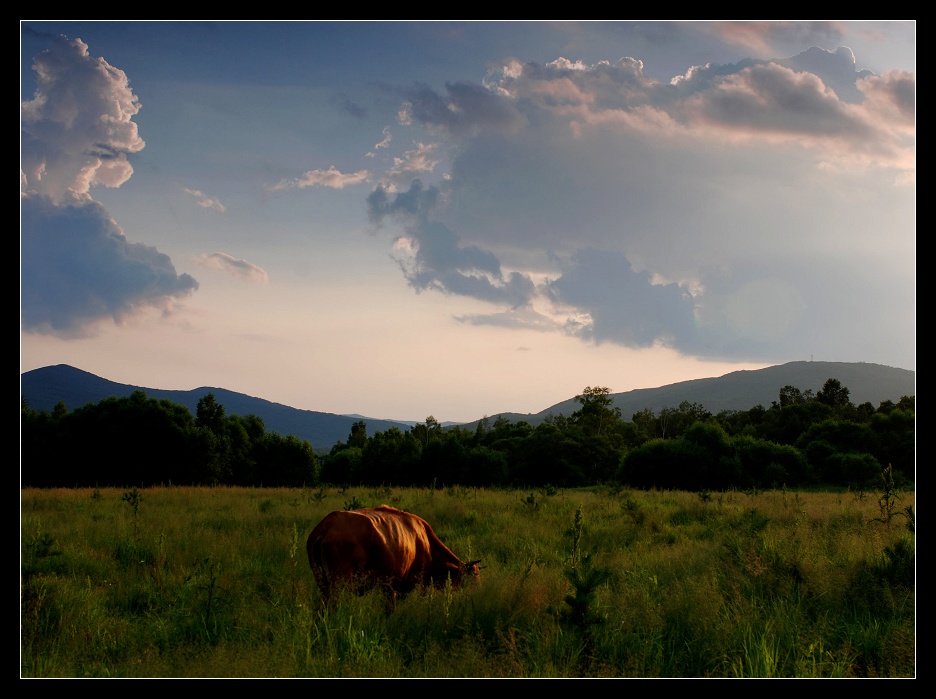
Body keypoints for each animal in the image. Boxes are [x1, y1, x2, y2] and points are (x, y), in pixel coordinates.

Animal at [308, 506, 482, 604]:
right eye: (472, 578)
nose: (476, 594)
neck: (425, 542)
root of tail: (327, 524)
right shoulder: (411, 584)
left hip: (323, 584)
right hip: (339, 584)